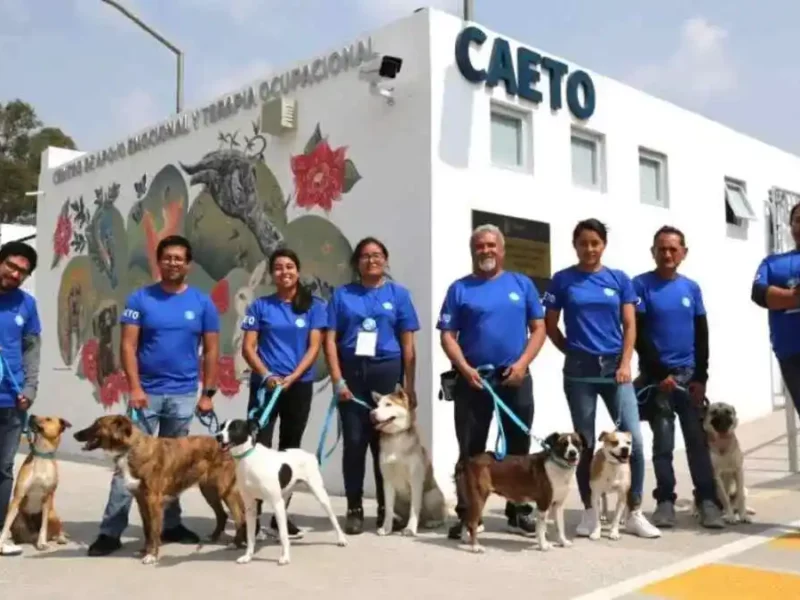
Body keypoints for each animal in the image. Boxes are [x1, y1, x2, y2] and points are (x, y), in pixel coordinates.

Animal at [0, 414, 71, 556]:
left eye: (48, 419)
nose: (32, 415)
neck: (42, 455)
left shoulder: (47, 498)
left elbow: (43, 526)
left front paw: (41, 543)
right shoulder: (18, 496)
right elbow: (5, 526)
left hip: (52, 515)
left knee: (57, 529)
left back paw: (61, 538)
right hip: (19, 517)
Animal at [75, 414, 245, 564]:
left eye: (97, 425)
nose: (75, 434)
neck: (130, 448)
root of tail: (226, 445)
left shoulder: (153, 501)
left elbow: (154, 530)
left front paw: (152, 555)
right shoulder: (141, 500)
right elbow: (147, 530)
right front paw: (145, 550)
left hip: (226, 490)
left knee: (239, 517)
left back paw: (236, 543)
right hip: (209, 490)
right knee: (222, 514)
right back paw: (214, 537)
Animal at [216, 420, 346, 564]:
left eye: (235, 427)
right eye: (221, 427)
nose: (218, 436)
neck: (249, 459)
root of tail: (311, 455)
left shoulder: (275, 502)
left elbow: (284, 534)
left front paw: (285, 557)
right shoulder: (250, 506)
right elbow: (251, 537)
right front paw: (248, 556)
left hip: (319, 494)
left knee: (333, 519)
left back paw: (341, 539)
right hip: (285, 497)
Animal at [370, 384, 450, 536]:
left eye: (388, 404)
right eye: (376, 406)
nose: (371, 414)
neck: (396, 437)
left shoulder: (416, 480)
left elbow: (414, 508)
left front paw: (410, 529)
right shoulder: (387, 481)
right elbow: (388, 509)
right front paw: (386, 528)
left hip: (431, 495)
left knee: (440, 516)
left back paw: (432, 522)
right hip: (398, 500)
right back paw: (400, 521)